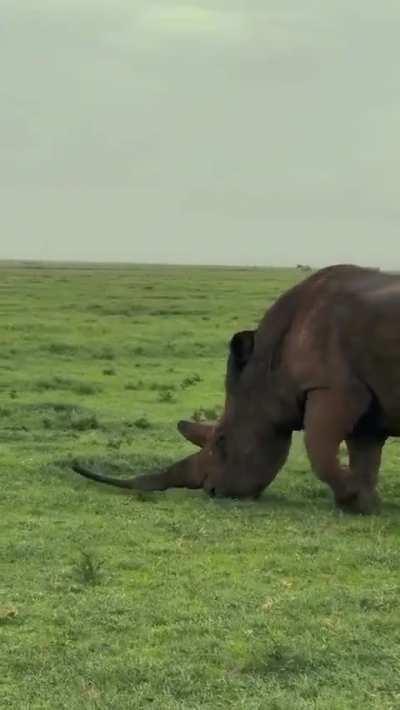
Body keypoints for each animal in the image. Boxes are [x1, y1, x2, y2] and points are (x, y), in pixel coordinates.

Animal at [72, 264, 400, 514]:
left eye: (221, 441)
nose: (213, 491)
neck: (267, 369)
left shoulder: (331, 386)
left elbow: (319, 450)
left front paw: (354, 498)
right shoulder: (366, 402)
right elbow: (364, 453)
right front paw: (365, 505)